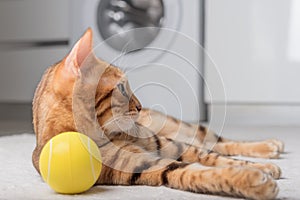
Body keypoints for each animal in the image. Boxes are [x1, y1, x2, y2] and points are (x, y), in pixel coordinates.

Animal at [32, 28, 284, 199]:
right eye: (122, 88)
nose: (140, 106)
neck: (109, 135)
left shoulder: (172, 145)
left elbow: (214, 158)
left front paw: (261, 168)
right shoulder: (144, 165)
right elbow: (194, 172)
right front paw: (253, 180)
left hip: (184, 128)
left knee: (221, 142)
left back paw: (270, 145)